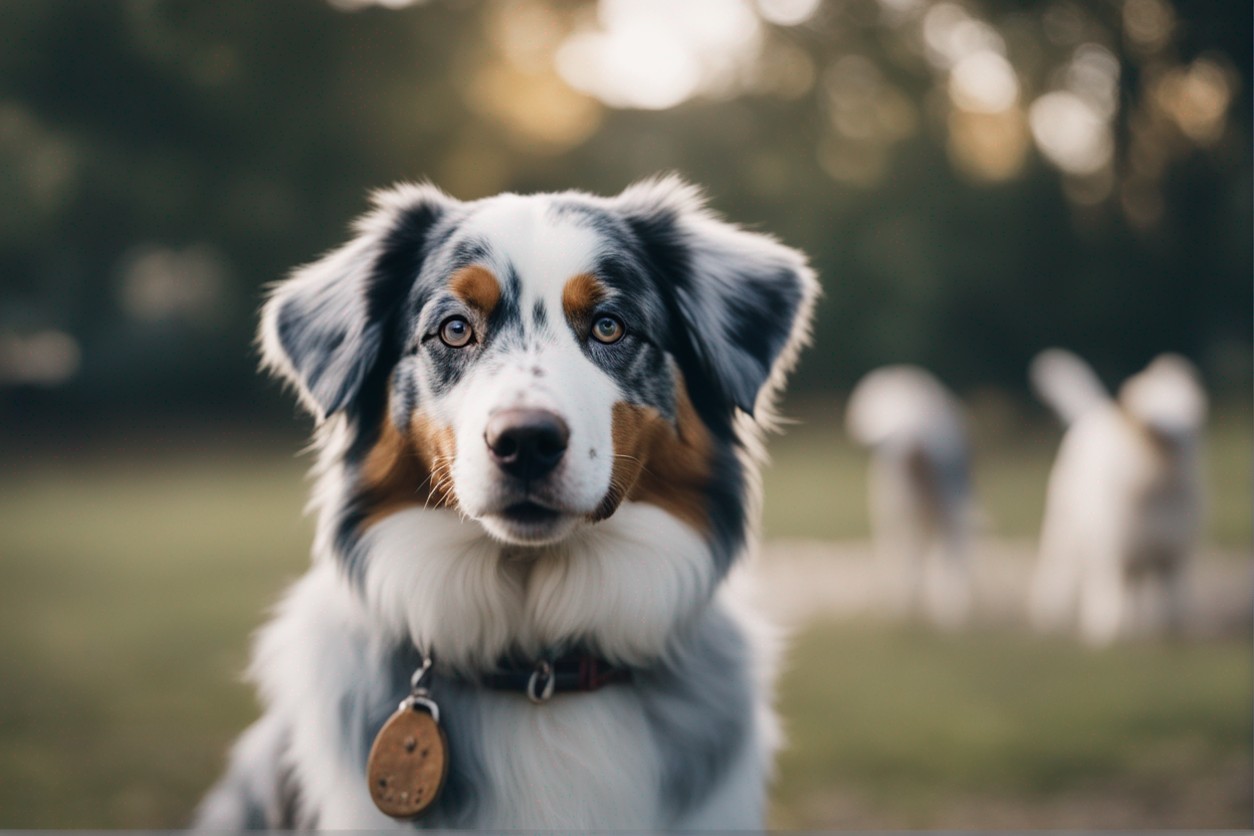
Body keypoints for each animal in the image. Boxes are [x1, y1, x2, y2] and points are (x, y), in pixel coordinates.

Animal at [1028, 348, 1203, 646]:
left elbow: (1171, 608)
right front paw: (1110, 637)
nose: (1171, 434)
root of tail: (1095, 412)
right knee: (1066, 579)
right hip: (1066, 532)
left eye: (1186, 409)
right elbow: (1114, 602)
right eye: (1153, 408)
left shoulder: (1171, 554)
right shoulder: (1117, 552)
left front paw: (1168, 637)